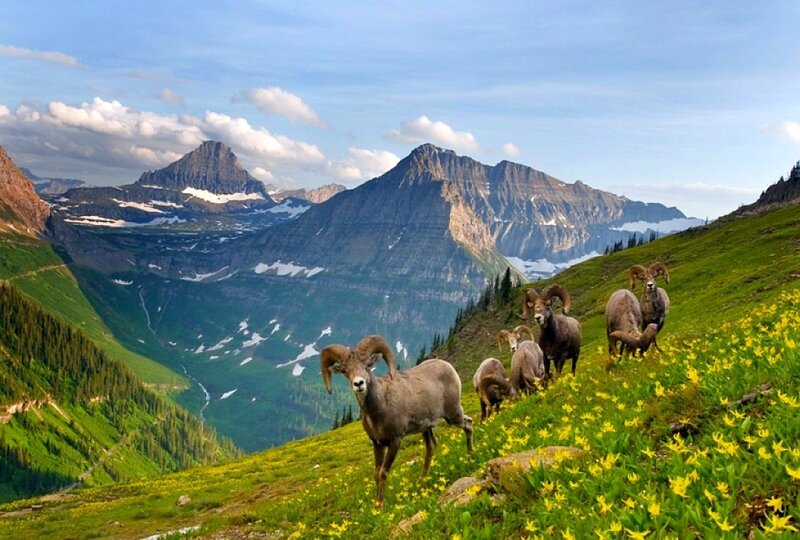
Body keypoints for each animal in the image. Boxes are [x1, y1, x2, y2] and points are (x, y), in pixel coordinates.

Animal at [320, 335, 473, 506]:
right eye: (346, 371)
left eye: (367, 366)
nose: (359, 384)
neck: (379, 409)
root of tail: (448, 366)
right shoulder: (377, 444)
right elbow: (376, 474)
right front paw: (376, 505)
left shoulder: (395, 441)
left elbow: (383, 473)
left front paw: (381, 505)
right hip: (426, 428)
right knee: (431, 447)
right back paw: (422, 479)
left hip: (453, 415)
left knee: (468, 424)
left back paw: (470, 454)